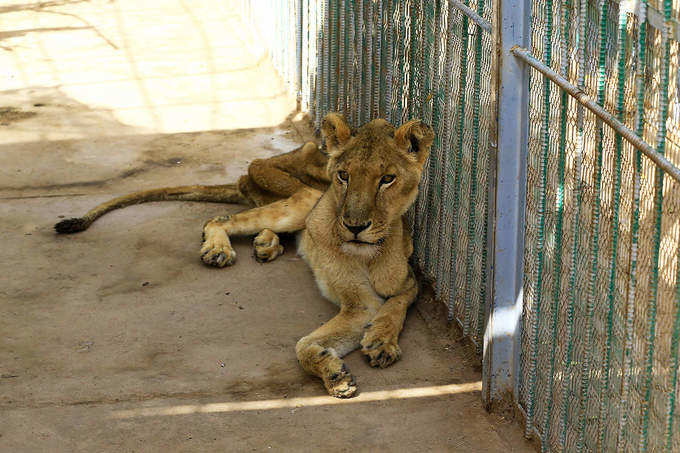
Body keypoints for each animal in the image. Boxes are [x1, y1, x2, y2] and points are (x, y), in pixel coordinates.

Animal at [55, 112, 432, 396]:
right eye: (344, 175)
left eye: (387, 179)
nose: (354, 226)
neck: (369, 253)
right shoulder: (358, 303)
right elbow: (303, 347)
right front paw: (336, 375)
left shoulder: (408, 282)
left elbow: (396, 306)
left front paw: (380, 341)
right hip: (306, 198)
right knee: (219, 219)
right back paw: (220, 249)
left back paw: (267, 244)